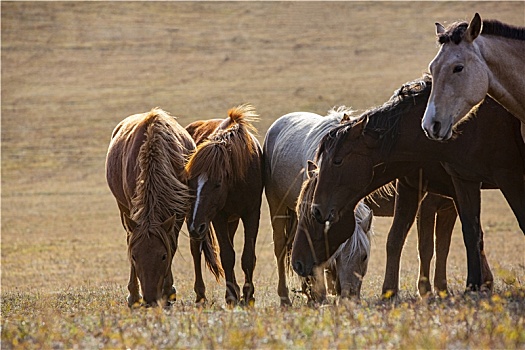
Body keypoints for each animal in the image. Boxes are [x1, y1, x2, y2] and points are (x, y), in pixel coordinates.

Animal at [105, 107, 222, 306]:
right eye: (134, 256)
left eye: (163, 256)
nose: (150, 300)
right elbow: (132, 240)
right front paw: (135, 295)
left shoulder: (178, 211)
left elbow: (172, 245)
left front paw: (169, 292)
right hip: (123, 208)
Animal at [185, 104, 266, 306]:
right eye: (190, 182)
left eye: (217, 183)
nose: (196, 226)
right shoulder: (218, 217)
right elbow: (227, 256)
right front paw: (231, 296)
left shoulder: (252, 213)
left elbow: (247, 256)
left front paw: (248, 295)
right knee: (195, 249)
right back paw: (200, 295)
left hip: (230, 220)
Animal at [292, 163, 460, 300]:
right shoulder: (426, 208)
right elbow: (425, 247)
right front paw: (425, 291)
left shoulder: (448, 209)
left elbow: (443, 248)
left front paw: (442, 290)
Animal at [312, 76, 524, 292]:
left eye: (338, 161)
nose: (317, 209)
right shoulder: (426, 188)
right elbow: (404, 240)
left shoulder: (501, 179)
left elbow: (435, 244)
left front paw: (435, 289)